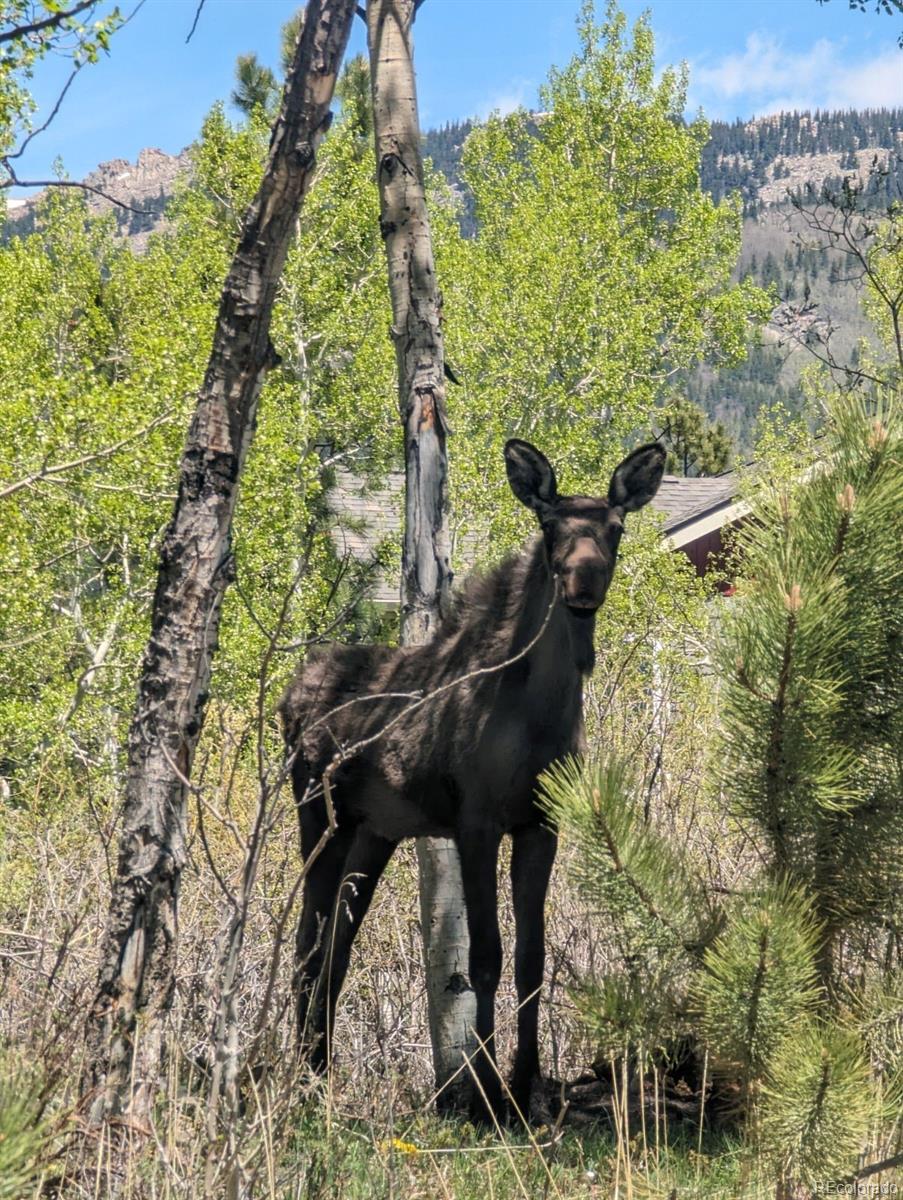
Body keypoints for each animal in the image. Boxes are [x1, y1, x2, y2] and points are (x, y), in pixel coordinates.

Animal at [278, 439, 667, 1123]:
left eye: (616, 528)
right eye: (549, 526)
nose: (584, 581)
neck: (542, 714)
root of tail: (286, 700)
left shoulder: (542, 824)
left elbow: (533, 958)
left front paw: (526, 1084)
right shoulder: (476, 822)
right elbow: (485, 956)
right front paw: (486, 1092)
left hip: (375, 831)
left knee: (337, 947)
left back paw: (320, 1069)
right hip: (319, 813)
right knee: (308, 942)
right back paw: (300, 1077)